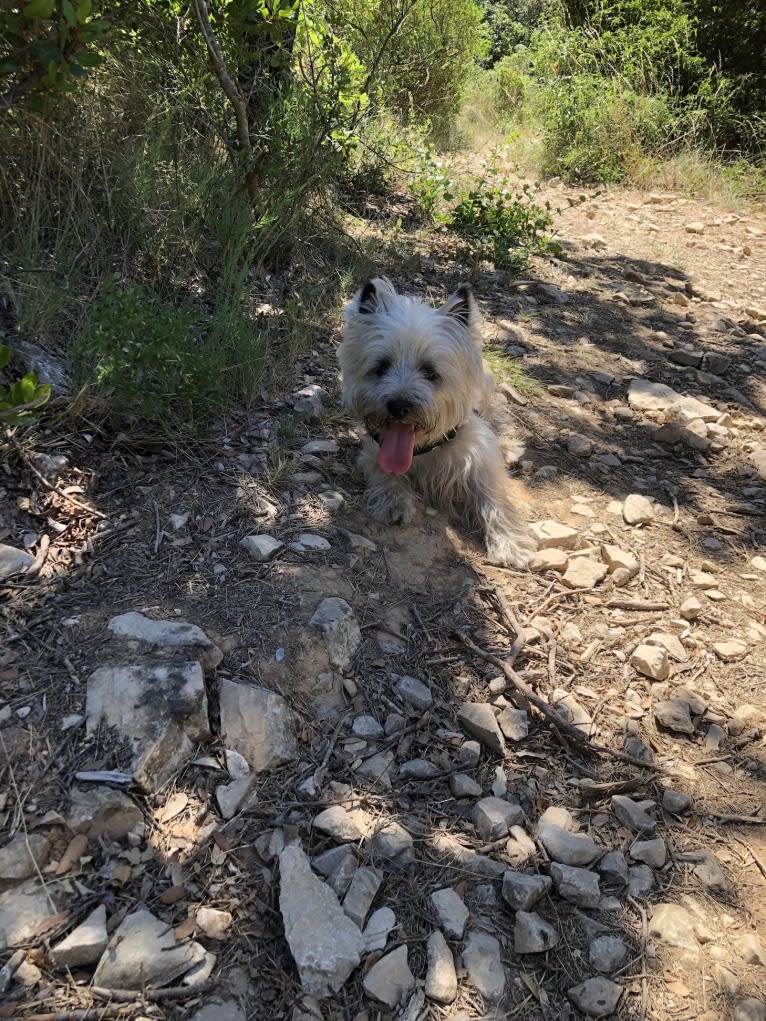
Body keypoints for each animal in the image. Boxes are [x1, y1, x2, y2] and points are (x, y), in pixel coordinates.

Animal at [339, 275, 531, 571]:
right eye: (381, 367)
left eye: (430, 372)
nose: (398, 405)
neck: (425, 447)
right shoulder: (373, 450)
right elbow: (384, 473)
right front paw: (394, 502)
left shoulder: (481, 460)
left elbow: (495, 499)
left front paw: (510, 544)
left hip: (487, 391)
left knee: (496, 416)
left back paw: (508, 446)